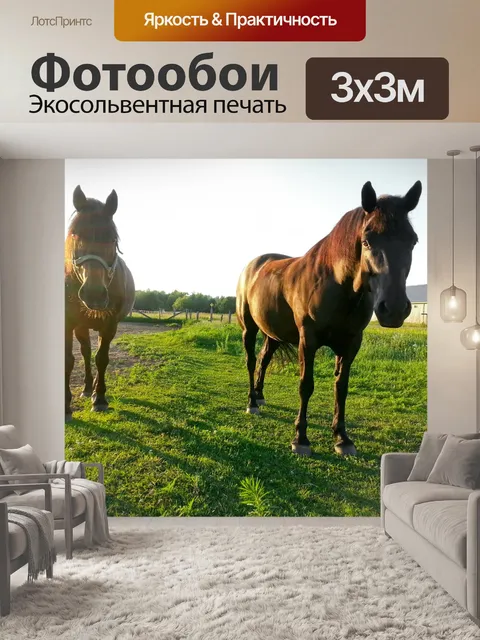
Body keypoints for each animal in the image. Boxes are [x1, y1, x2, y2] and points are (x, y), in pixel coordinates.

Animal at [65, 185, 135, 421]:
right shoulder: (67, 324)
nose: (93, 294)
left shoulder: (110, 324)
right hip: (81, 327)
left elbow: (102, 359)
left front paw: (101, 399)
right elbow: (69, 360)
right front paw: (66, 407)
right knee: (86, 353)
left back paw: (94, 389)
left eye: (113, 240)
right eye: (76, 235)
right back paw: (88, 388)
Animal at [236, 180, 422, 457]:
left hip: (273, 333)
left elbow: (341, 388)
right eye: (367, 241)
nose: (395, 309)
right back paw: (251, 402)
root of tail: (253, 265)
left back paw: (259, 395)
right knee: (250, 360)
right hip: (249, 328)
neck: (336, 283)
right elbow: (306, 385)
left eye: (413, 241)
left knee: (263, 359)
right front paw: (300, 438)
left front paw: (342, 438)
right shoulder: (308, 340)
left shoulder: (351, 343)